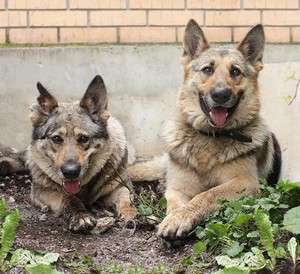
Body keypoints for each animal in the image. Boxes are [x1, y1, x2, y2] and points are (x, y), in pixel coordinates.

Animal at [0, 75, 137, 231]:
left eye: (83, 138)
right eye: (56, 139)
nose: (70, 172)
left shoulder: (120, 187)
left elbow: (126, 199)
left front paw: (128, 214)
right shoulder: (44, 191)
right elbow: (68, 197)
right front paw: (80, 215)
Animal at [128, 20, 282, 240]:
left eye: (235, 71)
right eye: (207, 69)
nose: (220, 95)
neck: (210, 136)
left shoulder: (245, 183)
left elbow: (206, 194)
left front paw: (182, 217)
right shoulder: (178, 188)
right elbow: (174, 204)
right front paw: (174, 217)